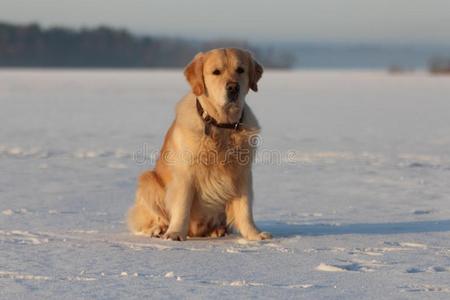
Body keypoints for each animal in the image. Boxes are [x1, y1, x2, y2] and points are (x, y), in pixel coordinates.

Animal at [128, 48, 272, 240]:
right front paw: (175, 233)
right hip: (148, 179)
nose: (233, 87)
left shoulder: (242, 173)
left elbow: (245, 208)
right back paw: (157, 230)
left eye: (240, 70)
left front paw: (254, 235)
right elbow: (182, 206)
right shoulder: (185, 173)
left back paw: (217, 230)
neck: (222, 126)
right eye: (216, 72)